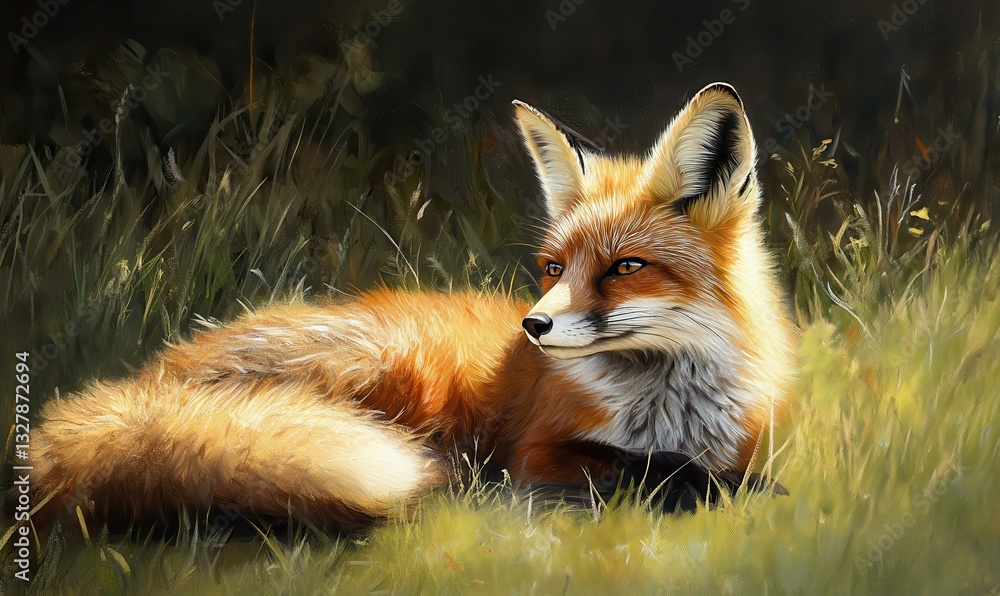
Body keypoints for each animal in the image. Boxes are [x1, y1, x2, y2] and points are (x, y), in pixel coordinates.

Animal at [29, 83, 796, 528]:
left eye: (625, 268)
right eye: (553, 268)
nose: (534, 325)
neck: (668, 407)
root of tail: (149, 381)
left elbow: (702, 472)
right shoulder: (540, 454)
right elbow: (651, 476)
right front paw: (731, 492)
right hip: (398, 370)